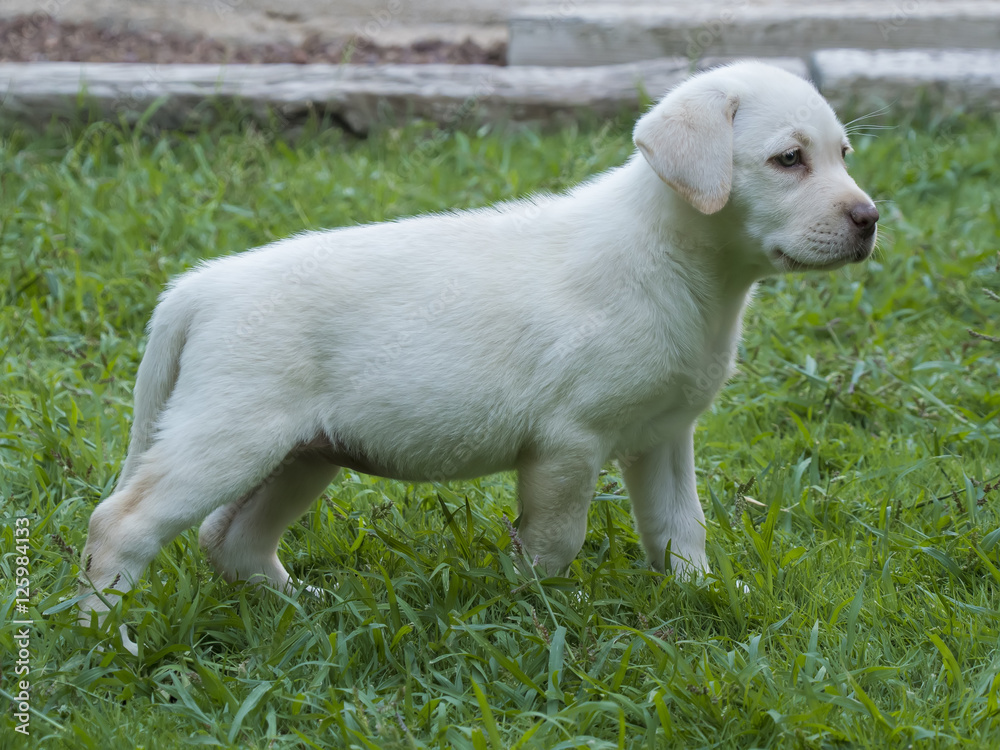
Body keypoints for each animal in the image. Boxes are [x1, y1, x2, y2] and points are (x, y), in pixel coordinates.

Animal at [80, 61, 876, 656]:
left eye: (842, 155)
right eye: (788, 159)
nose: (869, 220)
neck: (674, 258)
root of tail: (197, 288)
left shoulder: (662, 437)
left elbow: (680, 530)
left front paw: (706, 595)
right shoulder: (569, 443)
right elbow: (556, 541)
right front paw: (540, 608)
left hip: (303, 453)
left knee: (230, 540)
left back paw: (310, 608)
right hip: (230, 437)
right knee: (121, 523)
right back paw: (102, 639)